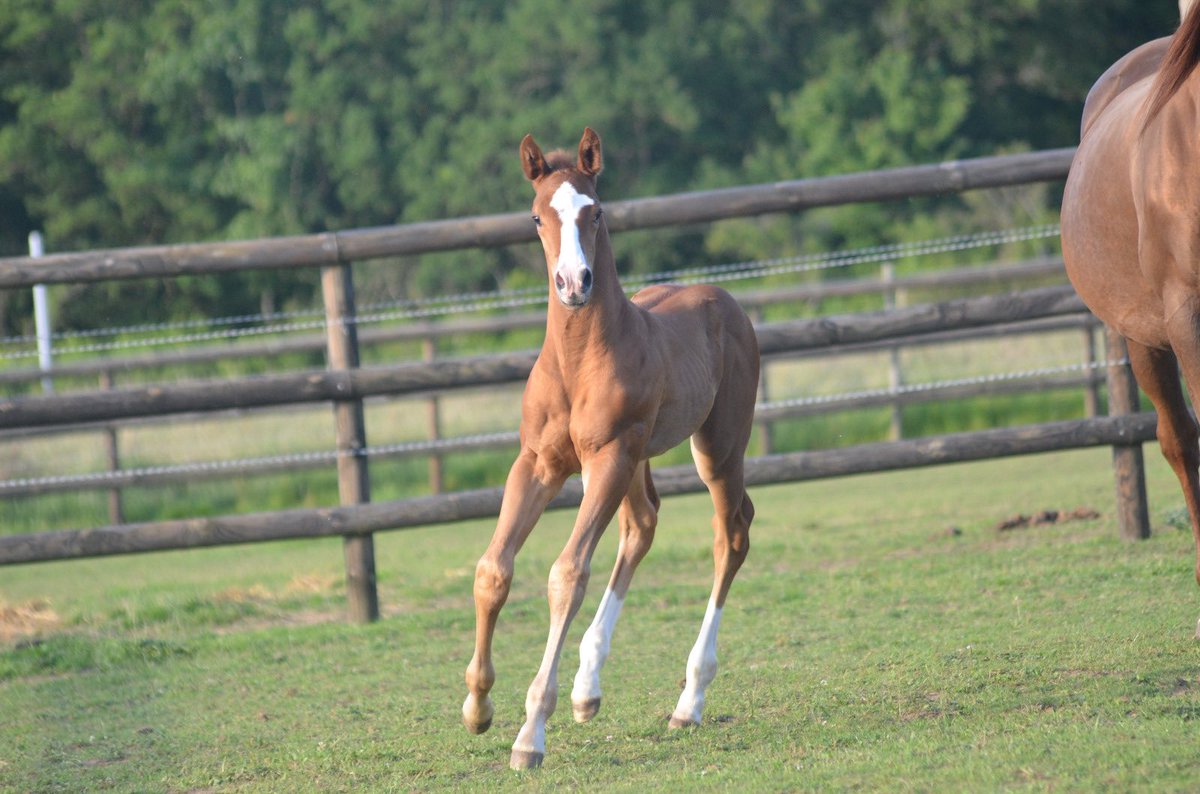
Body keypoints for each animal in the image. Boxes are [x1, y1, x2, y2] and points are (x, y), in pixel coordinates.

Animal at [461, 128, 760, 769]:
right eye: (537, 217)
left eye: (594, 211)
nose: (574, 283)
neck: (578, 362)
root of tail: (725, 300)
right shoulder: (539, 463)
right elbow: (493, 569)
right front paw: (477, 707)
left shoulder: (608, 457)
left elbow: (566, 574)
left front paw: (530, 733)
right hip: (640, 460)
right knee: (642, 525)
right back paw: (587, 689)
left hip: (716, 448)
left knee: (731, 535)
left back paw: (689, 700)